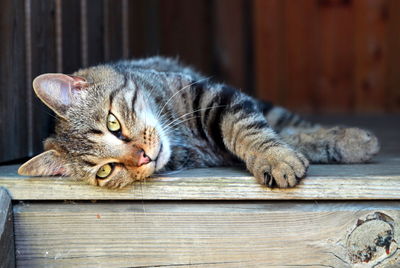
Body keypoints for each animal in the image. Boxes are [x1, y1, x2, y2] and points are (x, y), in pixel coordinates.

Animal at [18, 56, 380, 188]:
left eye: (113, 124)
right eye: (105, 171)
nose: (143, 157)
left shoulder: (212, 95)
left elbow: (247, 130)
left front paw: (276, 157)